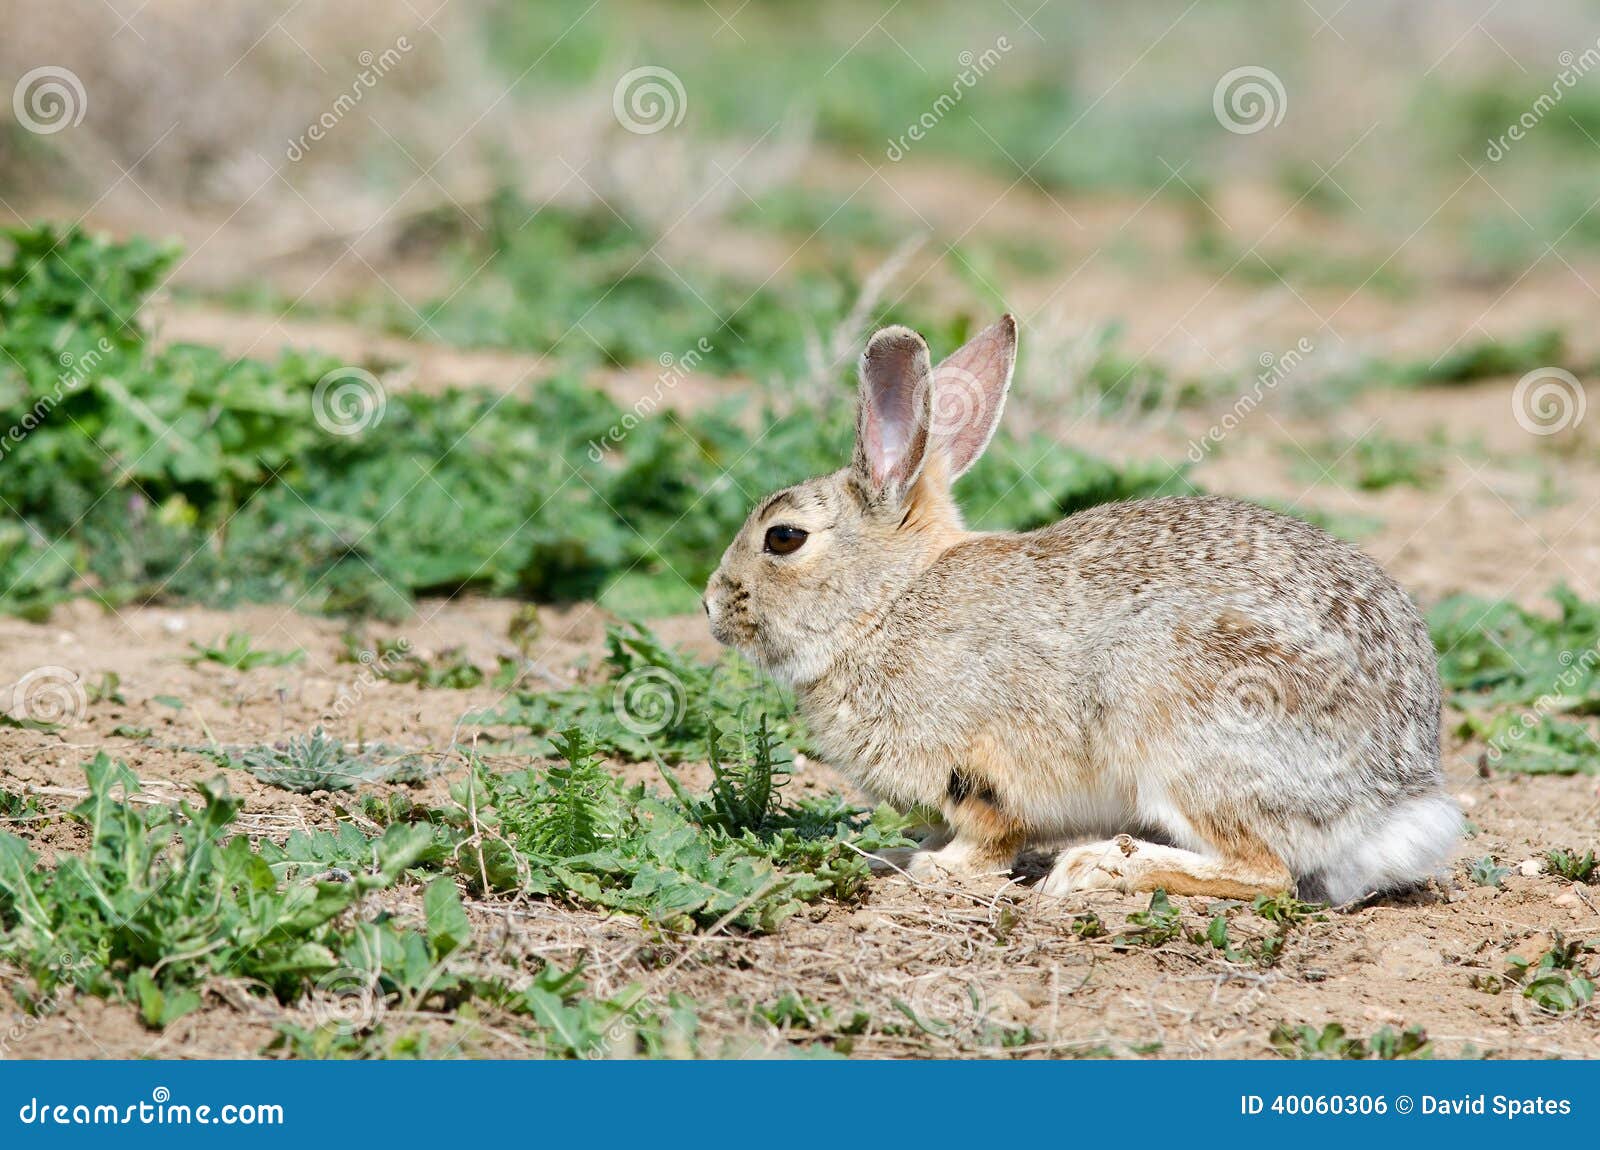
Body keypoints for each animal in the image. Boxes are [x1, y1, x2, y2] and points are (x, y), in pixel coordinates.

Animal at [704, 316, 1465, 908]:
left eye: (784, 538)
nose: (711, 604)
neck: (887, 601)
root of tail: (1394, 799)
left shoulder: (982, 773)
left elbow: (988, 839)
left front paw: (933, 870)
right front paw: (894, 855)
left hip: (1186, 722)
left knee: (1265, 870)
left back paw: (1100, 866)